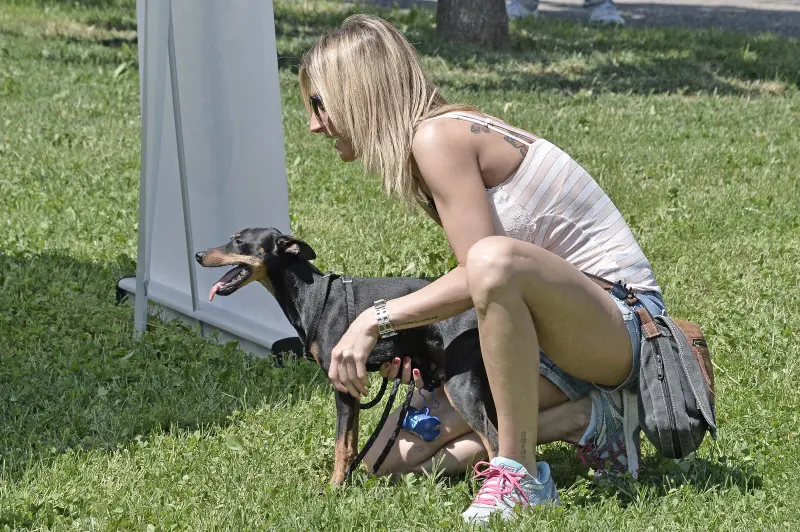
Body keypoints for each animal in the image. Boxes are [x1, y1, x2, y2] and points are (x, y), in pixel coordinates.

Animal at [195, 227, 494, 484]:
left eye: (239, 241)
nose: (198, 255)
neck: (314, 296)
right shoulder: (352, 388)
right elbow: (351, 442)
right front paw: (347, 480)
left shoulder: (341, 385)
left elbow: (341, 445)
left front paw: (334, 487)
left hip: (460, 388)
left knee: (494, 437)